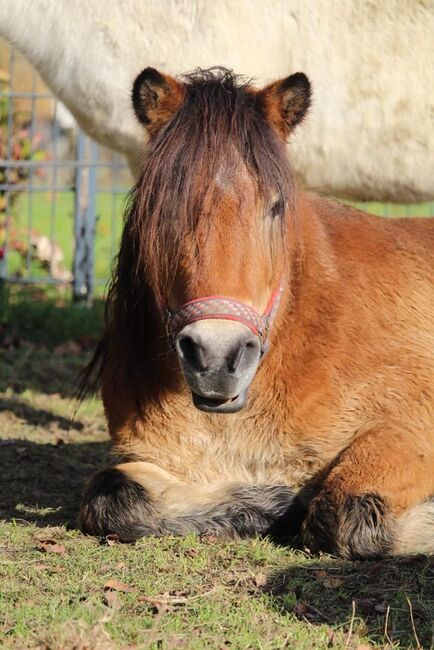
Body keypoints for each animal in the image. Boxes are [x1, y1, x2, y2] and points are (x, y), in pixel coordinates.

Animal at [79, 68, 434, 560]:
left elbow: (345, 513)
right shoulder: (153, 456)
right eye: (164, 208)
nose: (216, 358)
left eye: (276, 206)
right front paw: (269, 504)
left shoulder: (409, 429)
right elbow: (109, 497)